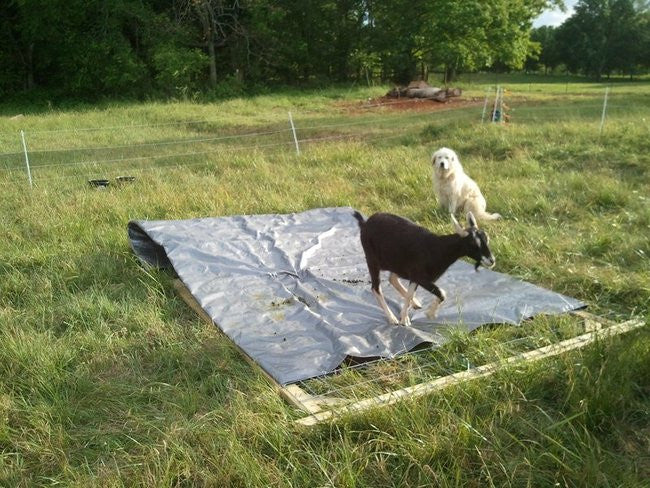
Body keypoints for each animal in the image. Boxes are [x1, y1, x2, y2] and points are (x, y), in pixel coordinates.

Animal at [352, 212, 494, 326]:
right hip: (372, 261)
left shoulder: (415, 277)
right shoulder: (421, 278)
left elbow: (410, 293)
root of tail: (365, 223)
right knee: (376, 288)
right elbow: (442, 293)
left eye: (487, 238)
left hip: (396, 263)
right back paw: (392, 318)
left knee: (393, 279)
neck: (437, 248)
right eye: (473, 244)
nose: (491, 260)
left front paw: (405, 317)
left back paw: (414, 304)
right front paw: (428, 314)